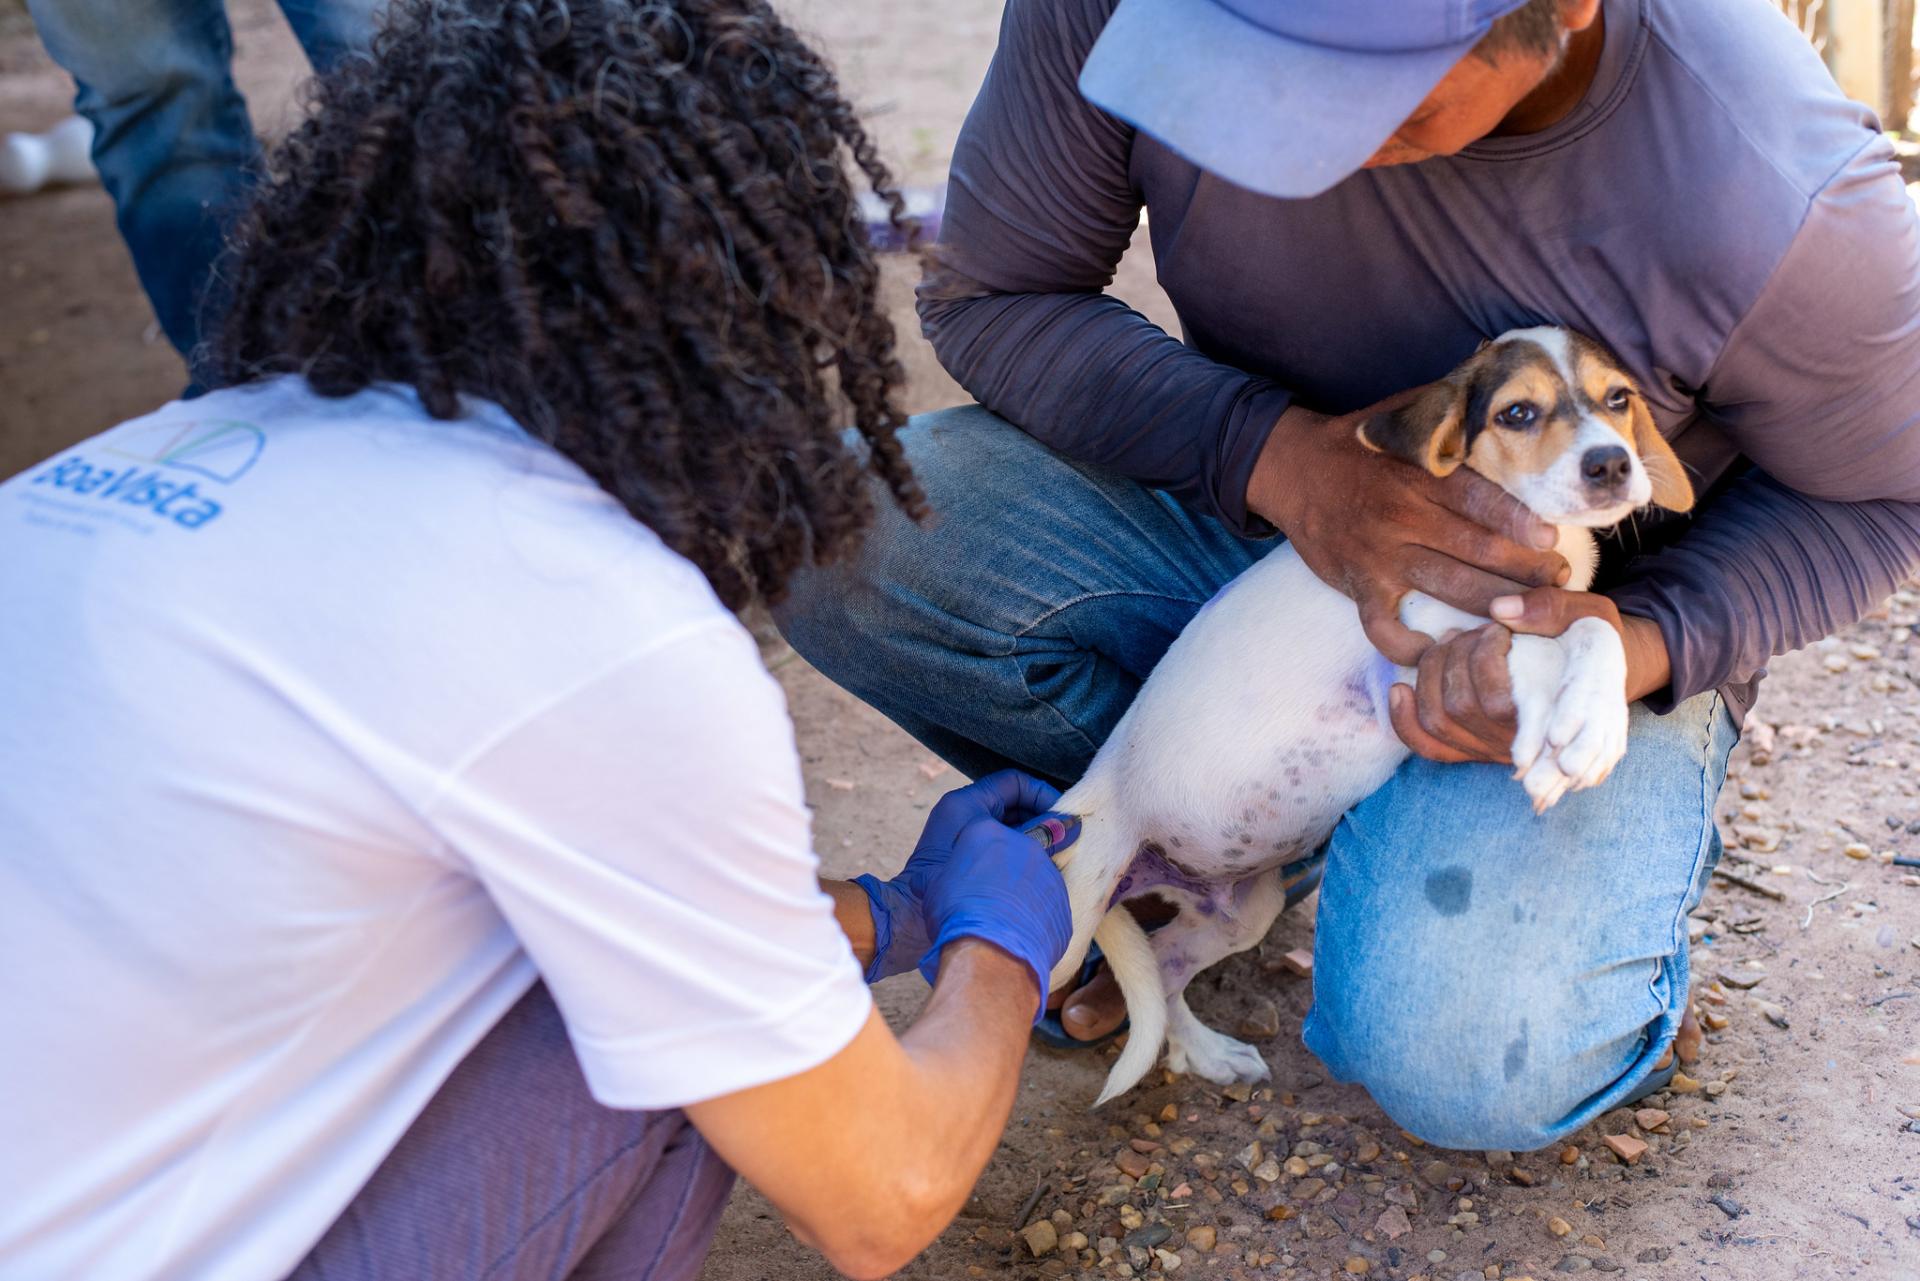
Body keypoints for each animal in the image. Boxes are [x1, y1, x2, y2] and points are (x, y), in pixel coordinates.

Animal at [1052, 328, 1697, 1106]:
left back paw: (1206, 1052)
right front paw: (1567, 740)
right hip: (1075, 911)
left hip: (1243, 908)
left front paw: (1590, 722)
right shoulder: (1419, 649)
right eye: (1516, 413)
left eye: (1618, 398)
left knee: (1164, 959)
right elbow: (1540, 640)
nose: (1611, 463)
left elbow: (1594, 621)